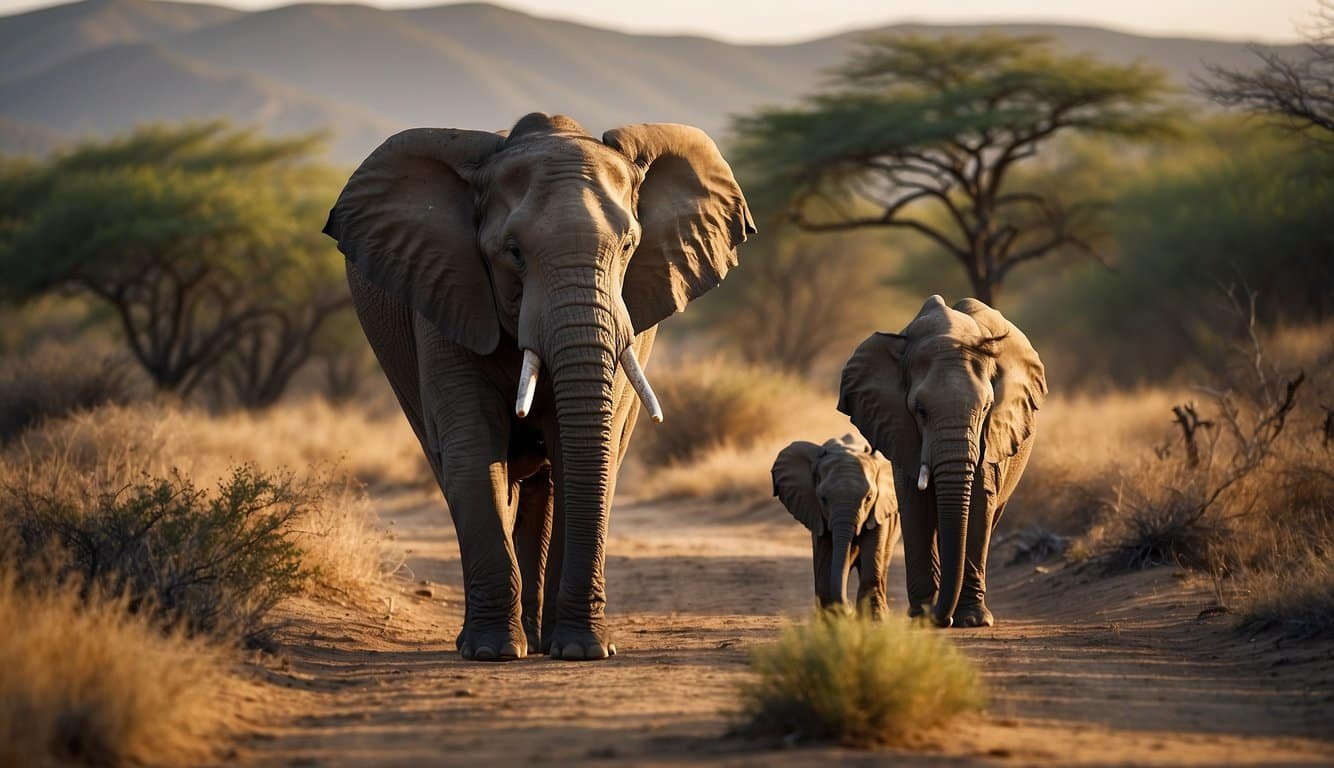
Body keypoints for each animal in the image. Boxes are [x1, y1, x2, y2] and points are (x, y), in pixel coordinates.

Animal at [325, 112, 752, 661]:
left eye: (629, 247)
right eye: (513, 253)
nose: (590, 647)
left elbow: (585, 457)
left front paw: (584, 650)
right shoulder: (447, 291)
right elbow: (473, 449)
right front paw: (491, 652)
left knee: (544, 489)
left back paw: (541, 637)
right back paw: (505, 639)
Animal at [768, 434, 901, 616]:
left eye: (868, 498)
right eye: (823, 498)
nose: (849, 608)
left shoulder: (879, 508)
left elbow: (872, 553)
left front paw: (875, 619)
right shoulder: (817, 512)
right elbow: (825, 559)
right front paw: (833, 618)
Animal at [837, 297, 1045, 626]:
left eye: (986, 407)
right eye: (920, 411)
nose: (940, 619)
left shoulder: (992, 434)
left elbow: (979, 504)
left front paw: (972, 621)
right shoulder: (898, 426)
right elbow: (914, 503)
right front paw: (922, 617)